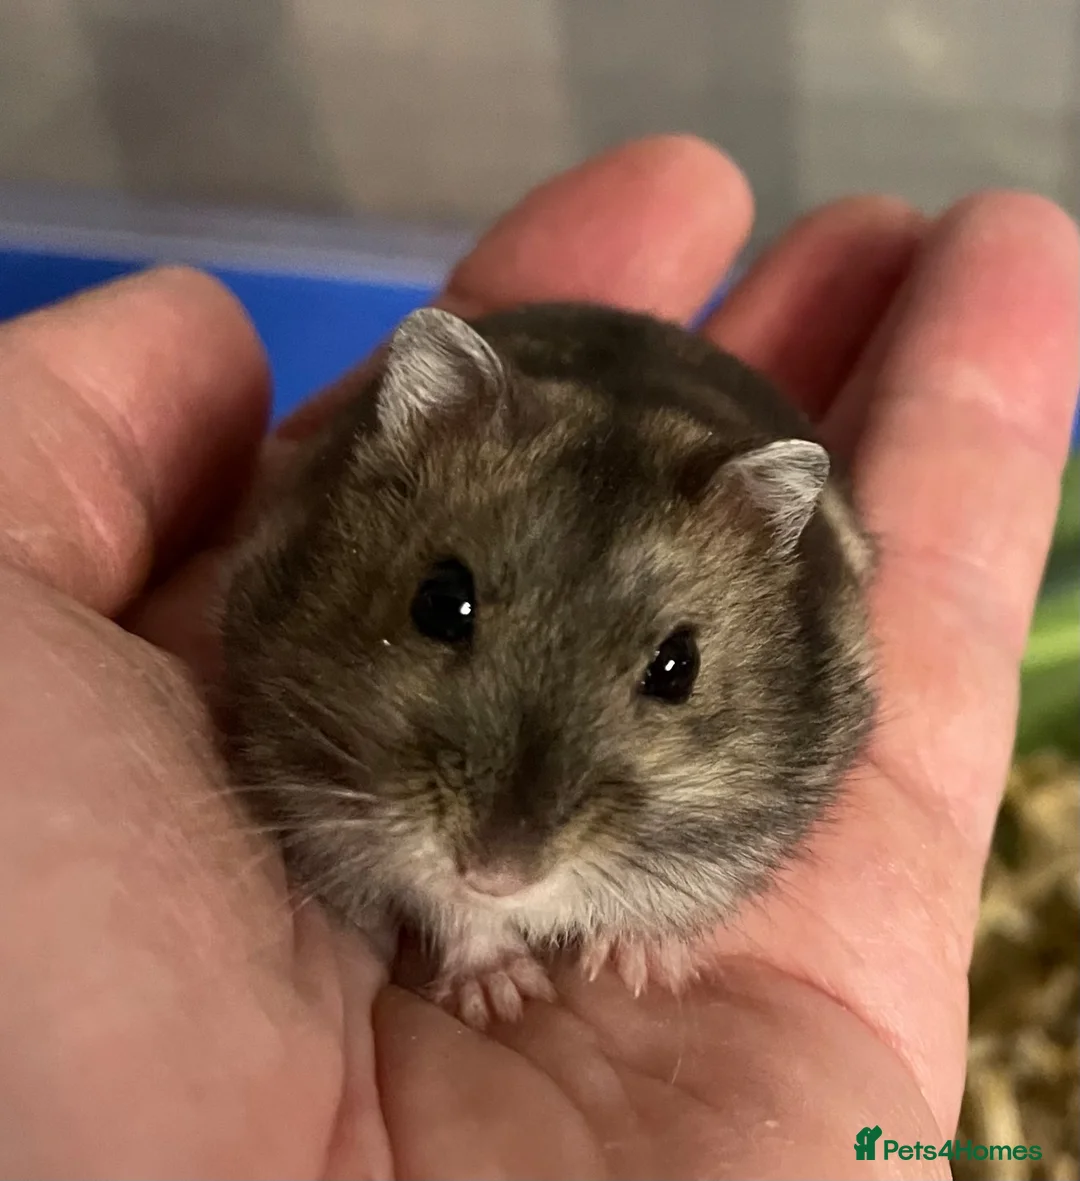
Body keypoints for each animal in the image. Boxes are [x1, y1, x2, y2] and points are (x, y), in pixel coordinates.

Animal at [217, 301, 877, 1029]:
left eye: (679, 667)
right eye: (440, 603)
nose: (496, 874)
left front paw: (641, 969)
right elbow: (453, 909)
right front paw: (505, 997)